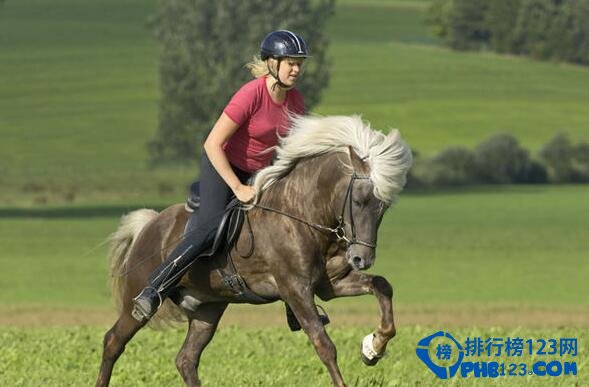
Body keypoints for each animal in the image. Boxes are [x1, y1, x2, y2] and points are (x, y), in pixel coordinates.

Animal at [95, 113, 408, 386]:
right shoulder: (295, 288)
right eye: (358, 201)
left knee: (186, 359)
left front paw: (373, 348)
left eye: (383, 208)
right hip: (138, 299)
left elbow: (383, 286)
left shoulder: (329, 285)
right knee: (113, 341)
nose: (361, 258)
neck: (301, 214)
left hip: (208, 308)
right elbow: (323, 344)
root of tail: (149, 225)